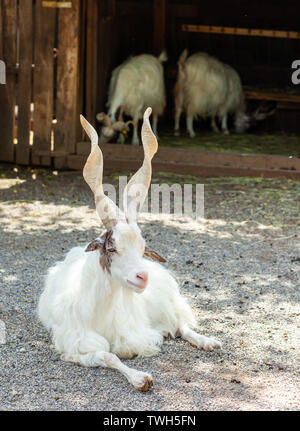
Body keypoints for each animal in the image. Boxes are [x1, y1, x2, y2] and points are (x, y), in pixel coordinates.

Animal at [37, 107, 220, 392]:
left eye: (143, 248)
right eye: (112, 248)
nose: (142, 277)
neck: (98, 312)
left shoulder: (134, 332)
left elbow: (130, 346)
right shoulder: (75, 344)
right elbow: (109, 355)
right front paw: (141, 378)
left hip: (161, 302)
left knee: (180, 324)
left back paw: (207, 341)